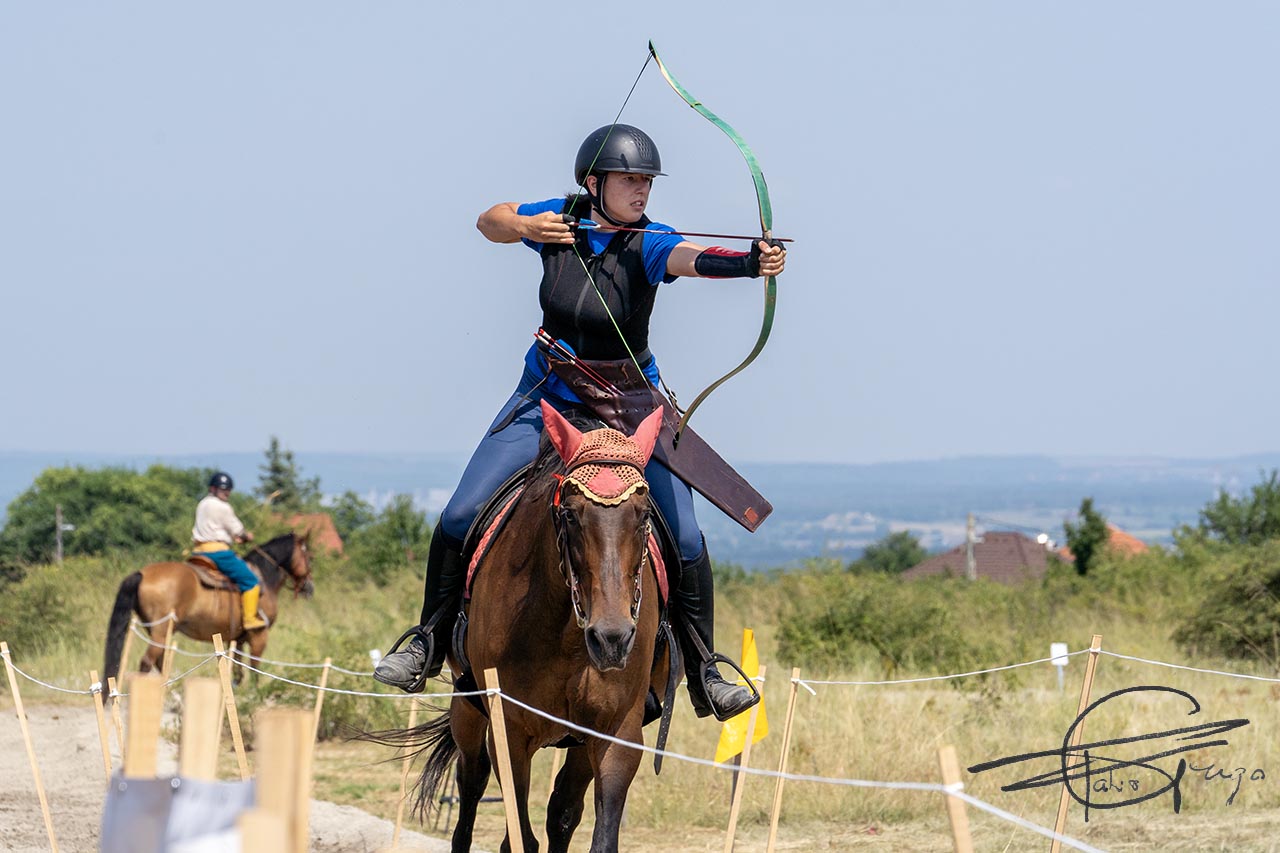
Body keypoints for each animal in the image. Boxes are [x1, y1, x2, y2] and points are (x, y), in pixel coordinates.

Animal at [102, 532, 314, 686]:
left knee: (160, 661)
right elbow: (254, 668)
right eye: (308, 556)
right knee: (147, 662)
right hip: (161, 631)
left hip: (158, 631)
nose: (309, 587)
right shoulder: (258, 636)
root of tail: (142, 573)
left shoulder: (237, 639)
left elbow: (237, 671)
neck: (264, 578)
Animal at [394, 402, 670, 850]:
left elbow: (597, 834)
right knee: (470, 790)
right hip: (468, 710)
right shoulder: (509, 730)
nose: (611, 640)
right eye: (570, 515)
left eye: (644, 515)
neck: (568, 636)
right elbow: (518, 836)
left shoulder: (617, 732)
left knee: (562, 811)